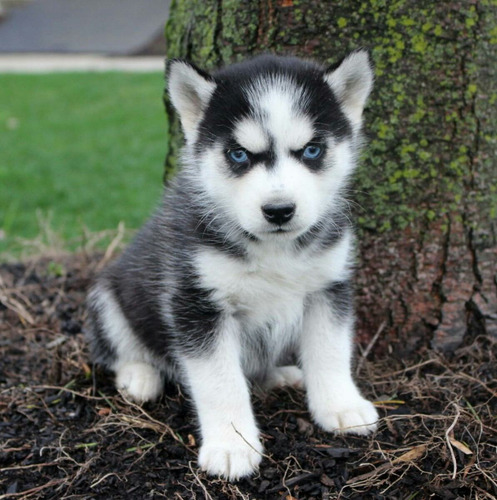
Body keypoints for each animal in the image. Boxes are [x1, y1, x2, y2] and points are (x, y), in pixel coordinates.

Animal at [87, 50, 378, 480]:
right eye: (239, 154)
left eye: (311, 150)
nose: (279, 210)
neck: (274, 249)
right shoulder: (196, 303)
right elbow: (220, 381)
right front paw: (232, 445)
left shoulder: (329, 285)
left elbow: (331, 351)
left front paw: (341, 406)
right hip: (107, 295)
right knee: (118, 349)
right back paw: (138, 375)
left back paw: (280, 375)